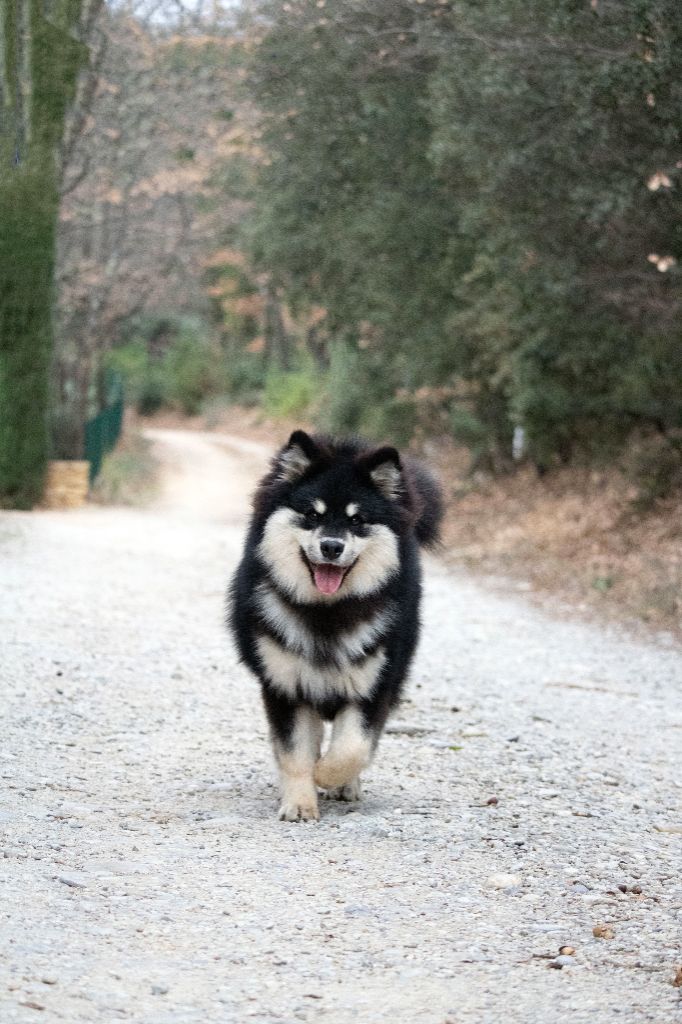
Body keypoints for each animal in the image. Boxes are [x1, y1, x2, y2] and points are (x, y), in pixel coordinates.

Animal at [227, 428, 440, 819]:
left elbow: (353, 747)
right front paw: (299, 802)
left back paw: (344, 786)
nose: (331, 546)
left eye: (357, 520)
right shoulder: (286, 685)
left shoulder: (371, 685)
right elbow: (295, 752)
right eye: (312, 514)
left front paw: (328, 776)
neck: (327, 612)